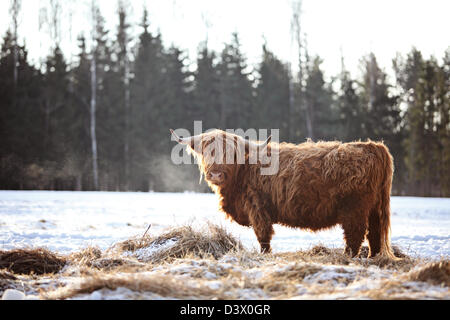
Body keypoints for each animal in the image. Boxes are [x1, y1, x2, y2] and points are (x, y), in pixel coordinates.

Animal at [171, 129, 396, 258]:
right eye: (206, 151)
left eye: (232, 153)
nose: (216, 173)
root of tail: (373, 146)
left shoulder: (257, 207)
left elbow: (263, 236)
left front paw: (265, 255)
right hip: (375, 208)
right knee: (375, 235)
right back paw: (373, 258)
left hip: (354, 208)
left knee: (355, 235)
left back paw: (347, 258)